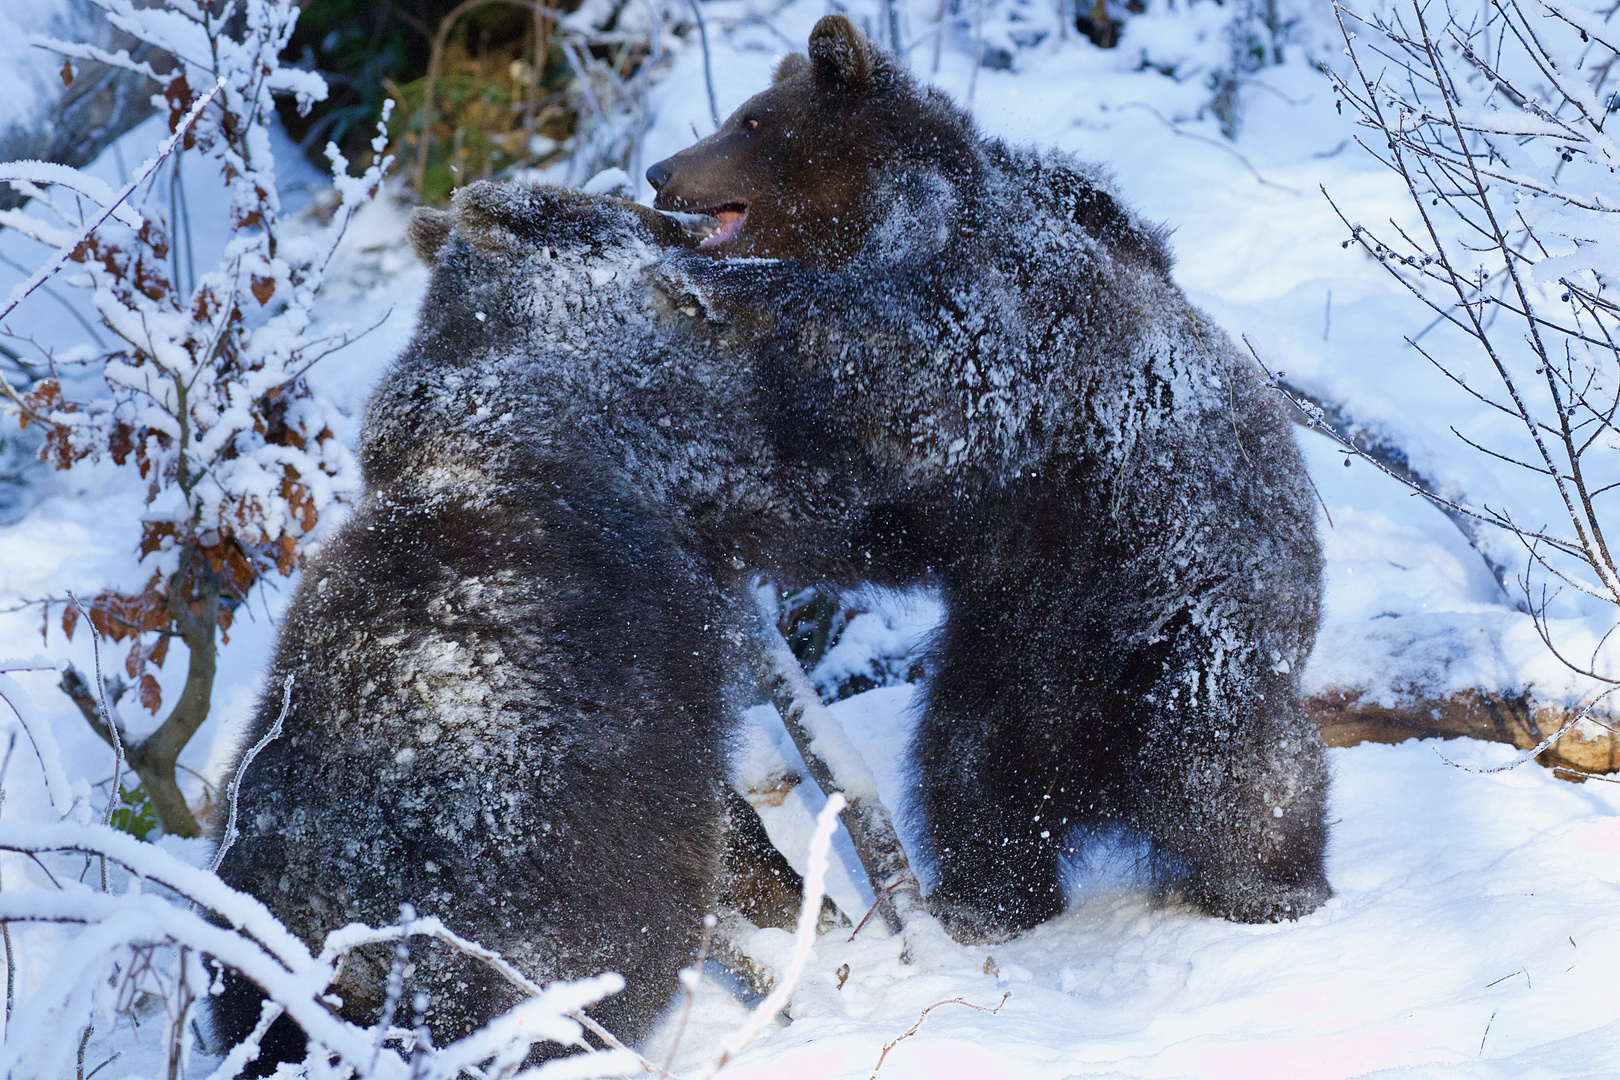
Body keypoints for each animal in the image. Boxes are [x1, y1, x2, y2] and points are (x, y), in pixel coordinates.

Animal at [651, 12, 1334, 939]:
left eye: (751, 121)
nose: (661, 170)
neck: (888, 222)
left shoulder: (1015, 326)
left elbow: (934, 372)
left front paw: (712, 285)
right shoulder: (985, 507)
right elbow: (879, 514)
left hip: (1184, 612)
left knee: (1222, 752)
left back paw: (1270, 887)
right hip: (1014, 653)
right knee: (972, 765)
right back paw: (989, 895)